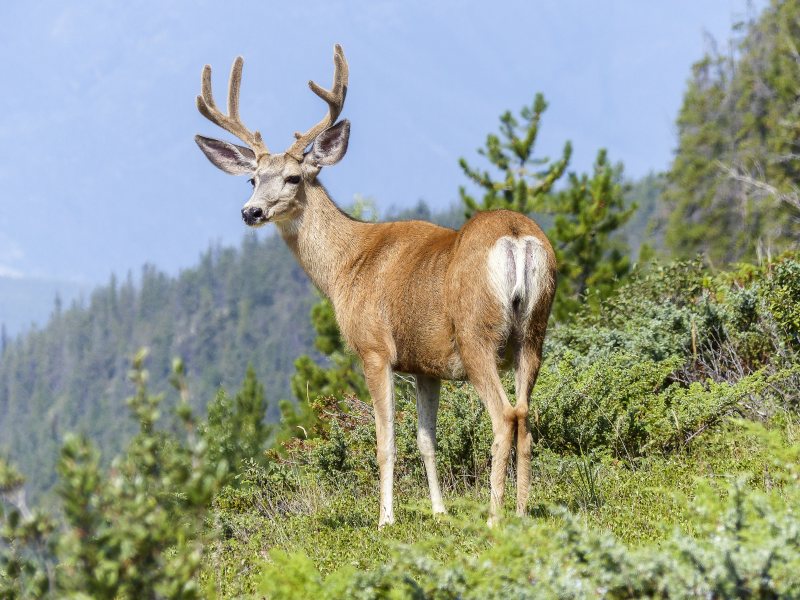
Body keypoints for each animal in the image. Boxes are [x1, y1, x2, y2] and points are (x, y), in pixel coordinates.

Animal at [195, 44, 556, 528]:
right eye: (253, 178)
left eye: (293, 177)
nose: (250, 211)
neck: (346, 267)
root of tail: (516, 238)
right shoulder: (425, 364)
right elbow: (426, 440)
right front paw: (439, 511)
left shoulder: (374, 347)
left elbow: (386, 442)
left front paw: (386, 518)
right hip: (533, 332)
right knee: (526, 416)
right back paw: (521, 511)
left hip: (477, 333)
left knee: (504, 416)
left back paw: (495, 517)